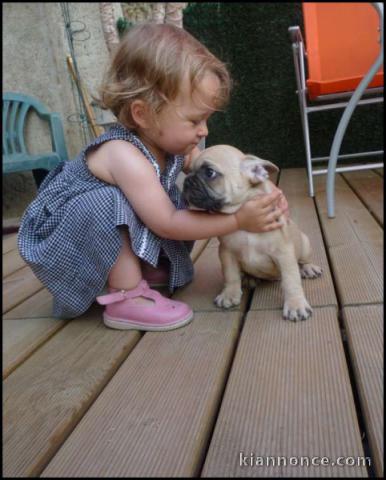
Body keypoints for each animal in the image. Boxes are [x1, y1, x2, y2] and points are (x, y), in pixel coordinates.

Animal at [182, 144, 322, 320]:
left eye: (209, 172)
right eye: (188, 171)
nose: (187, 181)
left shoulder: (284, 253)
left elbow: (291, 280)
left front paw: (296, 305)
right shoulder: (226, 253)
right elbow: (231, 275)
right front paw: (229, 294)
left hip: (304, 243)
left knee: (303, 261)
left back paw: (308, 268)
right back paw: (249, 278)